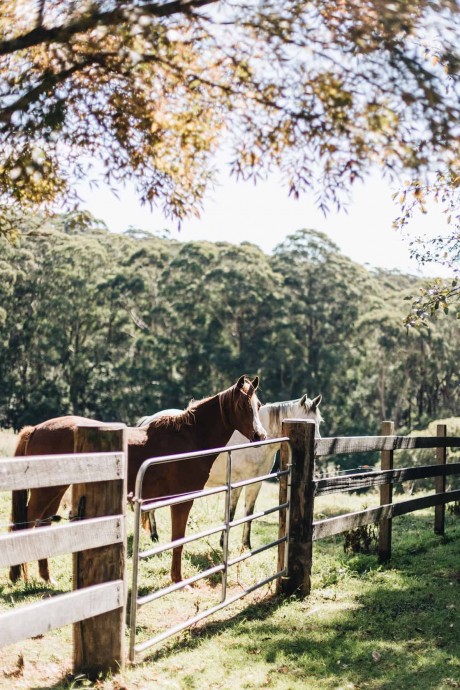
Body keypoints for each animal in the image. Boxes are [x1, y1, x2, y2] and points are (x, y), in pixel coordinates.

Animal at [9, 374, 266, 584]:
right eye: (242, 405)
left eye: (258, 405)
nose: (260, 436)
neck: (190, 438)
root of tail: (35, 429)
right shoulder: (182, 501)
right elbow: (178, 540)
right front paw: (178, 579)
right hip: (46, 491)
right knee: (26, 525)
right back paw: (20, 576)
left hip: (55, 489)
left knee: (43, 525)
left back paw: (46, 578)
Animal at [138, 392, 322, 548]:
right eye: (305, 420)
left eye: (319, 422)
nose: (316, 451)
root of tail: (148, 422)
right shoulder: (235, 484)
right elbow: (231, 514)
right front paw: (223, 543)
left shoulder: (255, 484)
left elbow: (249, 513)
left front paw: (246, 545)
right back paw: (154, 536)